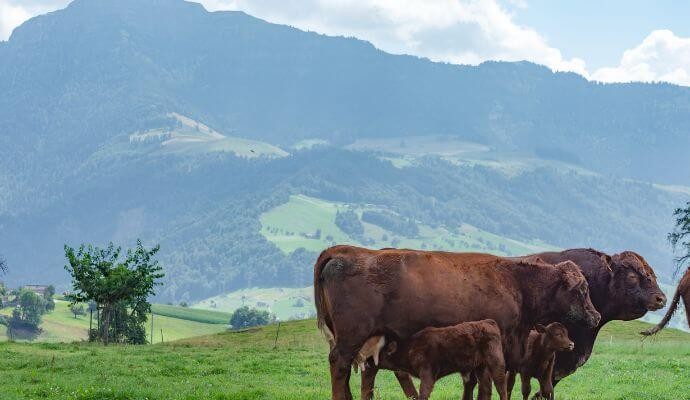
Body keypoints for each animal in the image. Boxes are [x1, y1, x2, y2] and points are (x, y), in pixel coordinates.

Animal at [370, 318, 510, 400]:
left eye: (378, 354)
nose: (368, 362)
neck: (410, 348)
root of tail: (488, 322)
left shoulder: (427, 373)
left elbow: (423, 393)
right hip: (480, 367)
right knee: (486, 388)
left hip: (496, 363)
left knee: (501, 386)